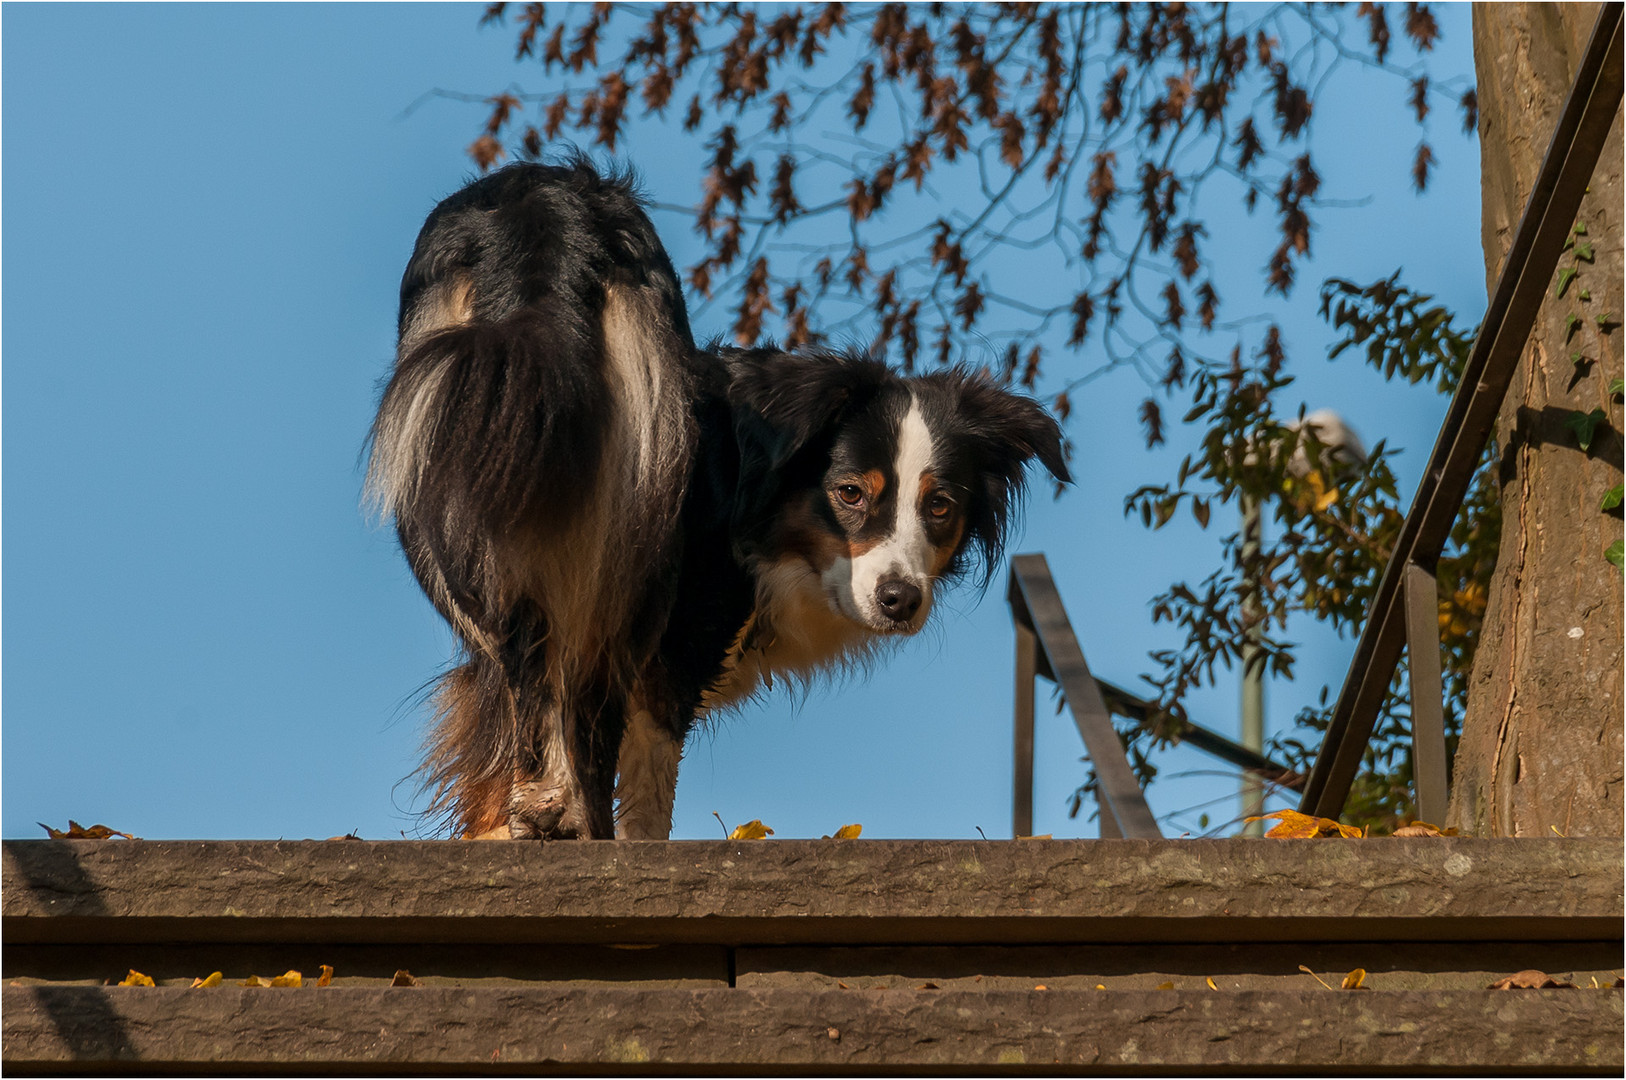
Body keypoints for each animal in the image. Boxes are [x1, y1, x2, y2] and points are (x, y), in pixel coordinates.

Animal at [369, 156, 1066, 839]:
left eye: (940, 505)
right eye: (848, 493)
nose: (900, 601)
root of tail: (538, 207)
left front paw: (526, 821)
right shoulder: (675, 648)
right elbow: (645, 796)